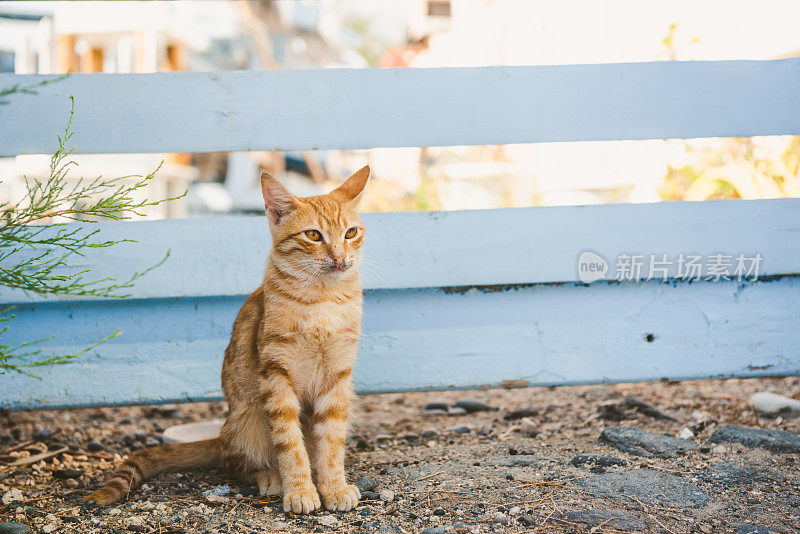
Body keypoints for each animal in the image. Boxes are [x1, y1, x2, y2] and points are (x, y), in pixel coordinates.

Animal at [88, 166, 372, 516]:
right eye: (314, 236)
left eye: (351, 233)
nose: (340, 258)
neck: (323, 299)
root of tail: (222, 431)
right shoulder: (276, 376)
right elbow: (290, 444)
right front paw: (300, 490)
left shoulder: (338, 378)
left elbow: (331, 442)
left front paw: (333, 486)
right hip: (248, 419)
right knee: (233, 463)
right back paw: (269, 475)